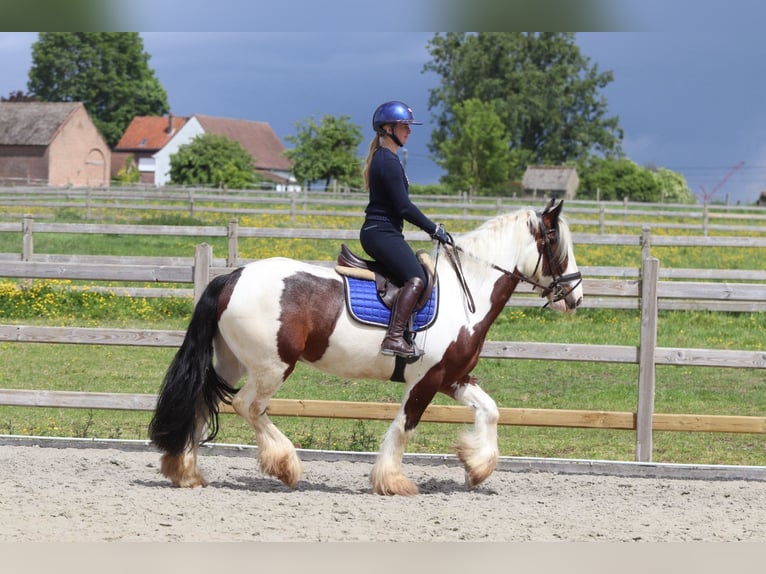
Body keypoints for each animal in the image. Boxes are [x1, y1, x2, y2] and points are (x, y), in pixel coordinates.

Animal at [148, 198, 583, 496]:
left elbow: (491, 411)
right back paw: (285, 464)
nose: (576, 296)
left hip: (232, 362)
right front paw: (392, 481)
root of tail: (233, 277)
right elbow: (405, 426)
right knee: (247, 406)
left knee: (202, 400)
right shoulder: (427, 381)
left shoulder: (452, 376)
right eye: (554, 243)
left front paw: (477, 467)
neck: (468, 292)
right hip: (272, 366)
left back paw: (186, 472)